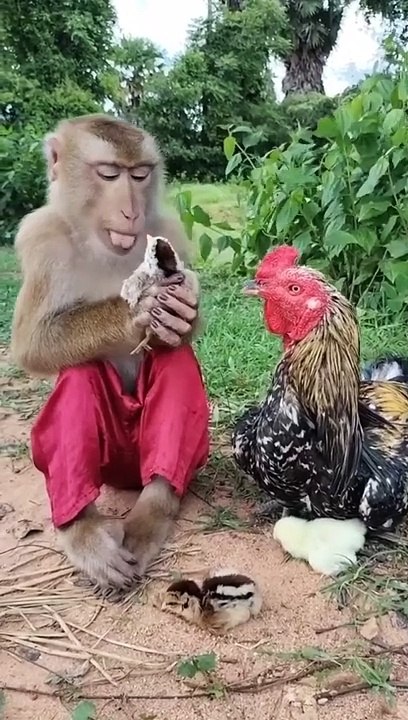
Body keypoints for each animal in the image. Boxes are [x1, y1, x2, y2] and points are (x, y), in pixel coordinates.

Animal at [10, 114, 210, 595]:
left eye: (139, 176)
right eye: (108, 174)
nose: (130, 210)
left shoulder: (171, 230)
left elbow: (181, 337)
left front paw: (180, 311)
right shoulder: (39, 238)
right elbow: (31, 344)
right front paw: (135, 308)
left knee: (174, 360)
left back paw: (154, 508)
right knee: (79, 371)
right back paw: (83, 531)